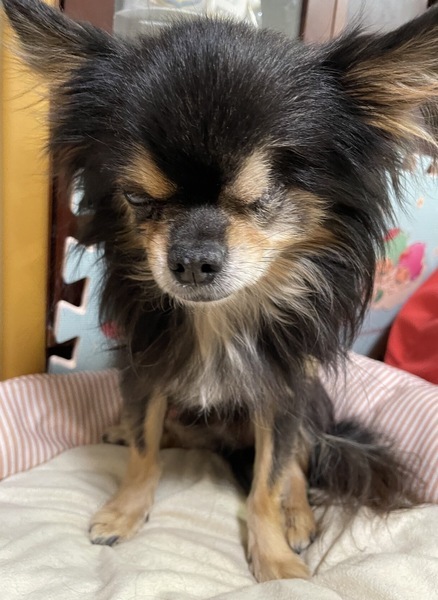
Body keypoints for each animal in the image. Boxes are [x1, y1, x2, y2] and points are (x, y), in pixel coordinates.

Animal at [3, 0, 437, 582]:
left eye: (262, 198)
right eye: (137, 198)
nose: (190, 260)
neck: (225, 316)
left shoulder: (282, 393)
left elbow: (268, 481)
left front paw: (274, 557)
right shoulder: (147, 373)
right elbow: (143, 451)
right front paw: (125, 509)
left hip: (313, 401)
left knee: (299, 461)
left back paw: (299, 516)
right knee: (170, 433)